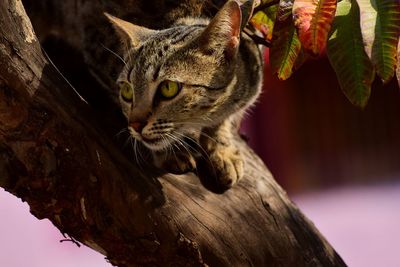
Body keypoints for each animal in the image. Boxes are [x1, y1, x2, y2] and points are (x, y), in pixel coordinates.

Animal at [106, 0, 262, 188]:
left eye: (168, 88)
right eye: (127, 91)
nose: (135, 125)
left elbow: (223, 120)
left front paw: (221, 148)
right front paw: (171, 152)